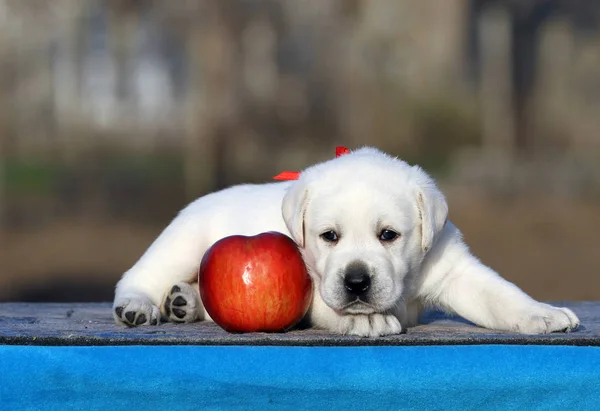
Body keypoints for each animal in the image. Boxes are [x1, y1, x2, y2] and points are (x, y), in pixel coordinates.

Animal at [113, 148, 580, 338]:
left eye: (389, 235)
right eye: (329, 237)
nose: (357, 283)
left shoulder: (453, 269)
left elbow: (501, 295)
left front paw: (543, 314)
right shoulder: (310, 288)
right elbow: (327, 306)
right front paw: (365, 320)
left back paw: (183, 302)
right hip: (184, 241)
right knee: (139, 274)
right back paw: (139, 305)